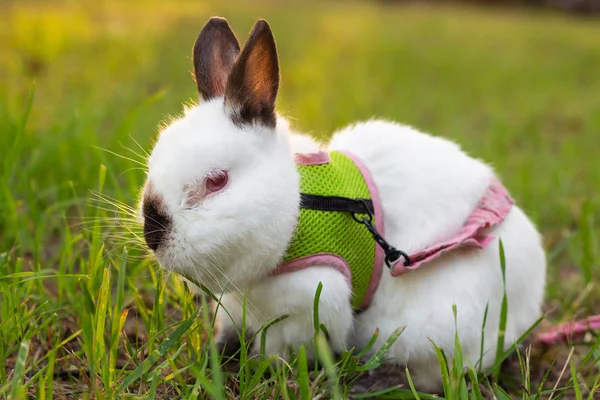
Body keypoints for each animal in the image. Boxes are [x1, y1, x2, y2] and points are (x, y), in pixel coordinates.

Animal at [138, 17, 548, 392]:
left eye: (217, 181)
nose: (152, 236)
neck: (299, 210)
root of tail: (531, 294)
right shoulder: (236, 308)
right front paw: (216, 358)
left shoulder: (306, 308)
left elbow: (278, 354)